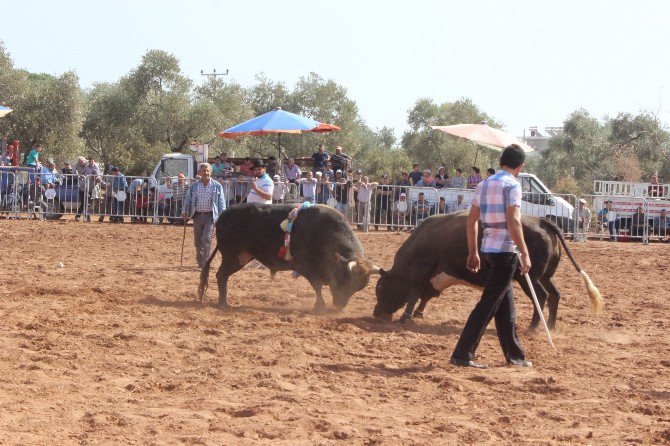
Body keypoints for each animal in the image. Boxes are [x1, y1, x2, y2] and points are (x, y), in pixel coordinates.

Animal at [197, 204, 380, 308]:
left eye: (357, 287)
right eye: (344, 280)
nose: (339, 306)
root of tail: (224, 214)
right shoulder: (306, 267)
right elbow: (317, 286)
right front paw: (320, 306)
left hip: (241, 257)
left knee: (223, 275)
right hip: (231, 255)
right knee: (221, 275)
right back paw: (223, 303)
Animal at [376, 211, 608, 330]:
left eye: (381, 289)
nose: (376, 313)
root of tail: (542, 221)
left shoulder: (420, 272)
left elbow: (414, 294)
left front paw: (406, 316)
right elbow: (425, 296)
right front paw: (418, 313)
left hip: (528, 277)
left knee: (541, 296)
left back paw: (533, 327)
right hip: (545, 276)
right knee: (555, 295)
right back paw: (549, 326)